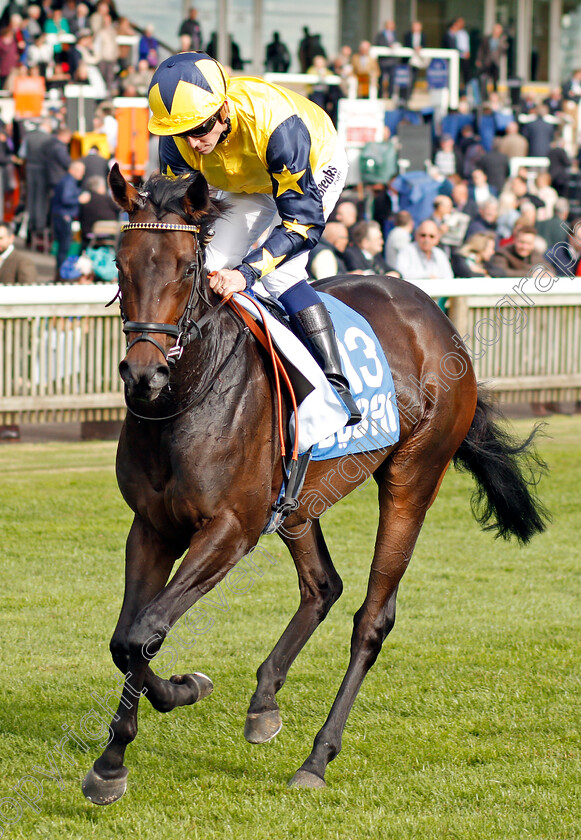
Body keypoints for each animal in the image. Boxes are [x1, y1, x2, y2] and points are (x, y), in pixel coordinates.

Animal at [81, 162, 548, 800]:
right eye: (120, 263)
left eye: (185, 267)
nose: (143, 374)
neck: (189, 397)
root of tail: (432, 312)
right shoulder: (152, 526)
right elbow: (126, 637)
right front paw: (111, 761)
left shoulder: (230, 529)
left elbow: (144, 632)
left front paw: (185, 688)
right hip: (299, 502)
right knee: (323, 585)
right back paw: (264, 702)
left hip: (413, 477)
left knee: (372, 619)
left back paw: (317, 757)